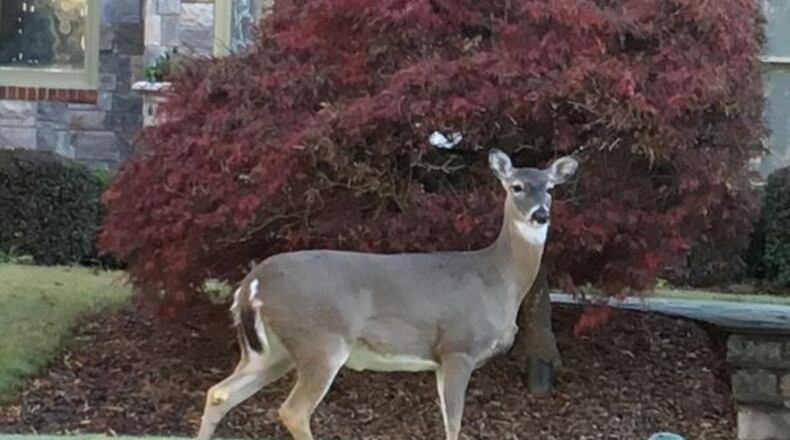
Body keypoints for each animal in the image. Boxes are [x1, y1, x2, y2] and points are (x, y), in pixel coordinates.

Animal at [197, 149, 578, 440]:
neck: (498, 278)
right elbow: (454, 425)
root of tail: (251, 284)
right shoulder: (458, 347)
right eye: (516, 186)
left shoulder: (441, 358)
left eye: (550, 189)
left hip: (271, 351)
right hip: (320, 339)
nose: (540, 214)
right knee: (292, 411)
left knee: (219, 392)